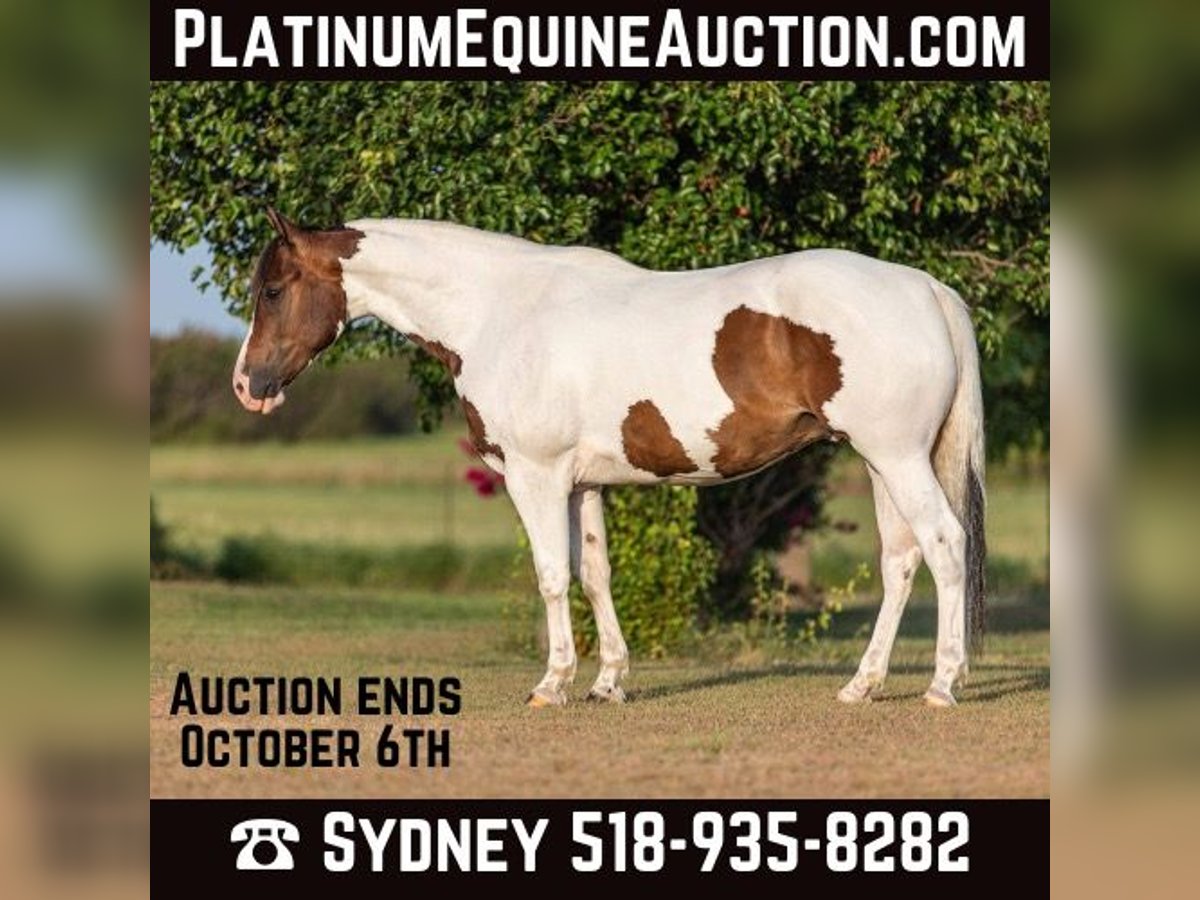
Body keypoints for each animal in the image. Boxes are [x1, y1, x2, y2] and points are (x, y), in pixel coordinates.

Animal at [233, 206, 986, 708]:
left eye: (272, 290)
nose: (248, 386)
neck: (498, 311)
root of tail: (926, 288)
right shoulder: (581, 484)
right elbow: (595, 574)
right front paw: (608, 681)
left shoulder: (534, 476)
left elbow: (550, 576)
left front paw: (553, 683)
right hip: (883, 461)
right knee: (901, 561)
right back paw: (863, 684)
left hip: (897, 457)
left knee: (944, 545)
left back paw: (942, 684)